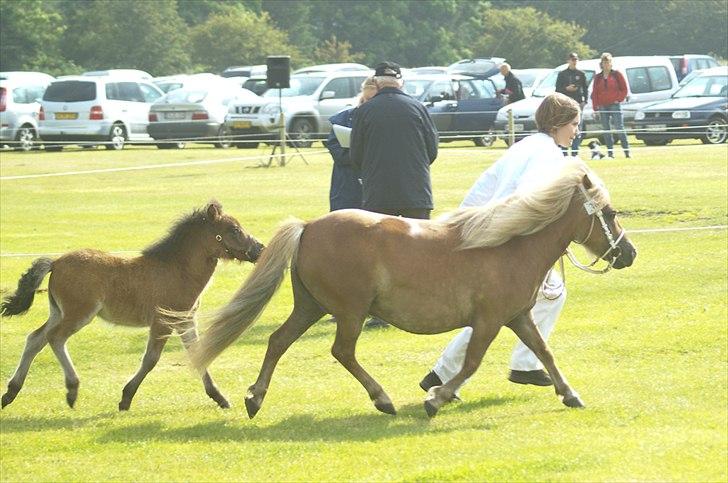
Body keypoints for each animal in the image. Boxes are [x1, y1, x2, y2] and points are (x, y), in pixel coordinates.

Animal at [1, 200, 264, 412]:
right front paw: (125, 398)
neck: (177, 270)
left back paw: (11, 392)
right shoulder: (162, 322)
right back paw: (72, 389)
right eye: (233, 230)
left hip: (59, 312)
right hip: (79, 313)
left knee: (35, 338)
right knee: (55, 338)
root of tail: (55, 262)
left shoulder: (185, 320)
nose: (259, 249)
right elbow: (151, 360)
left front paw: (219, 397)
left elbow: (198, 352)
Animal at [192, 161, 636, 418]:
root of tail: (309, 227)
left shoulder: (518, 317)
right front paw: (435, 398)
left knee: (278, 341)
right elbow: (471, 364)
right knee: (342, 351)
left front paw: (569, 393)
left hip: (311, 307)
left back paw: (254, 398)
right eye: (609, 212)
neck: (511, 246)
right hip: (350, 312)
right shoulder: (489, 321)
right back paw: (382, 399)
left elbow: (544, 351)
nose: (629, 253)